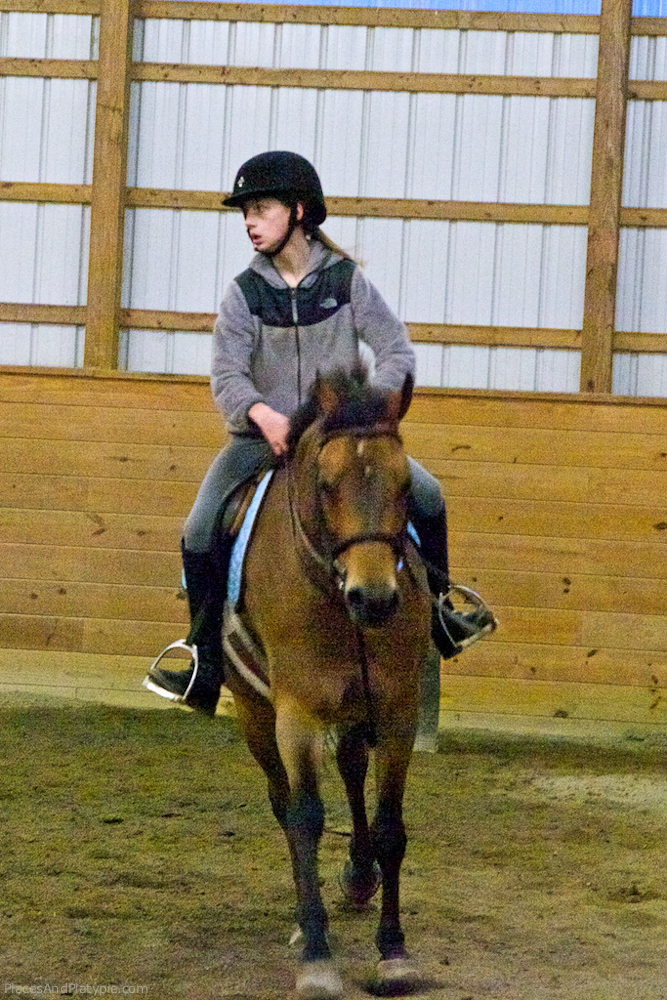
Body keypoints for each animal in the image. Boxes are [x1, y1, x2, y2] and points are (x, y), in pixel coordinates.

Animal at [223, 367, 432, 999]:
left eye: (404, 485)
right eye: (326, 484)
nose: (374, 598)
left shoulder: (397, 709)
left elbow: (389, 826)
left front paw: (393, 952)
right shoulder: (297, 714)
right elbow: (306, 819)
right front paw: (317, 954)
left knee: (352, 770)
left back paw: (358, 878)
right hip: (254, 712)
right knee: (284, 803)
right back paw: (302, 918)